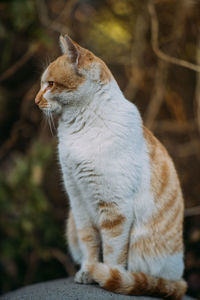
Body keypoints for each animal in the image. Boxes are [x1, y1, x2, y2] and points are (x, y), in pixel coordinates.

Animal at [34, 35, 188, 300]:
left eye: (50, 84)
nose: (35, 101)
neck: (81, 127)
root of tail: (178, 278)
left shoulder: (115, 208)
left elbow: (113, 252)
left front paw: (107, 274)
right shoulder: (79, 202)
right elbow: (89, 243)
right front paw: (88, 271)